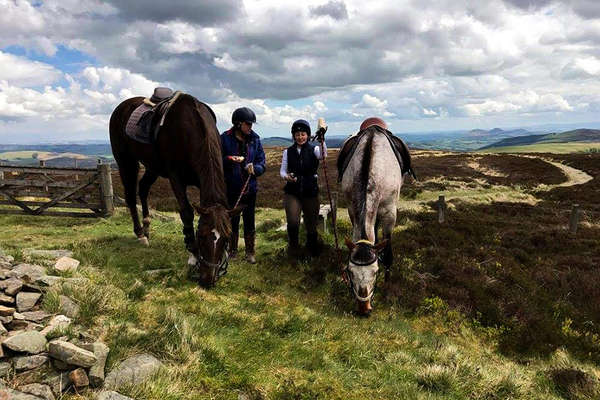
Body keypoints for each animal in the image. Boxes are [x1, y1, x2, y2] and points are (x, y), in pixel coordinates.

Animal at [109, 94, 240, 288]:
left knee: (143, 189)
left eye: (226, 238)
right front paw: (193, 255)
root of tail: (122, 106)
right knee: (131, 196)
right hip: (126, 161)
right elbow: (186, 213)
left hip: (152, 167)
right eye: (201, 236)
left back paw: (147, 228)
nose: (207, 281)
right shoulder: (175, 178)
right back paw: (140, 234)